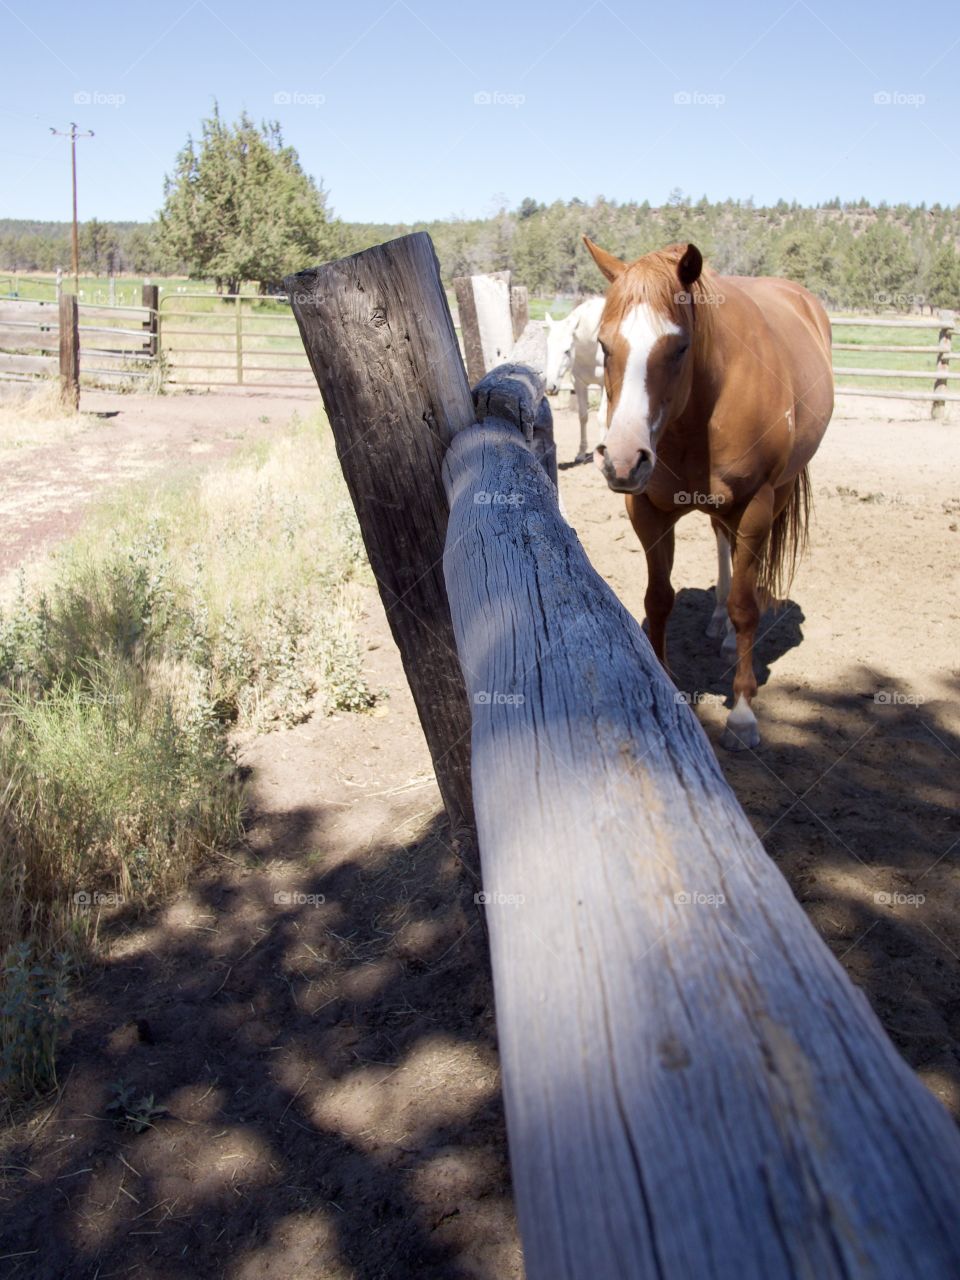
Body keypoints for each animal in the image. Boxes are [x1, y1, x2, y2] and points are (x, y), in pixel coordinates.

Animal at [547, 296, 609, 463]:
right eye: (547, 347)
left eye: (567, 350)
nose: (550, 387)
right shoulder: (579, 383)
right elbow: (583, 416)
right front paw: (581, 453)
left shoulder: (606, 384)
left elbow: (601, 417)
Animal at [583, 238, 839, 747]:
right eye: (603, 343)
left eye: (680, 346)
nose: (622, 460)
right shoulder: (648, 510)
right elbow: (658, 599)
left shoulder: (755, 505)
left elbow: (746, 607)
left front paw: (742, 712)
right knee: (723, 544)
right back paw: (717, 623)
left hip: (777, 494)